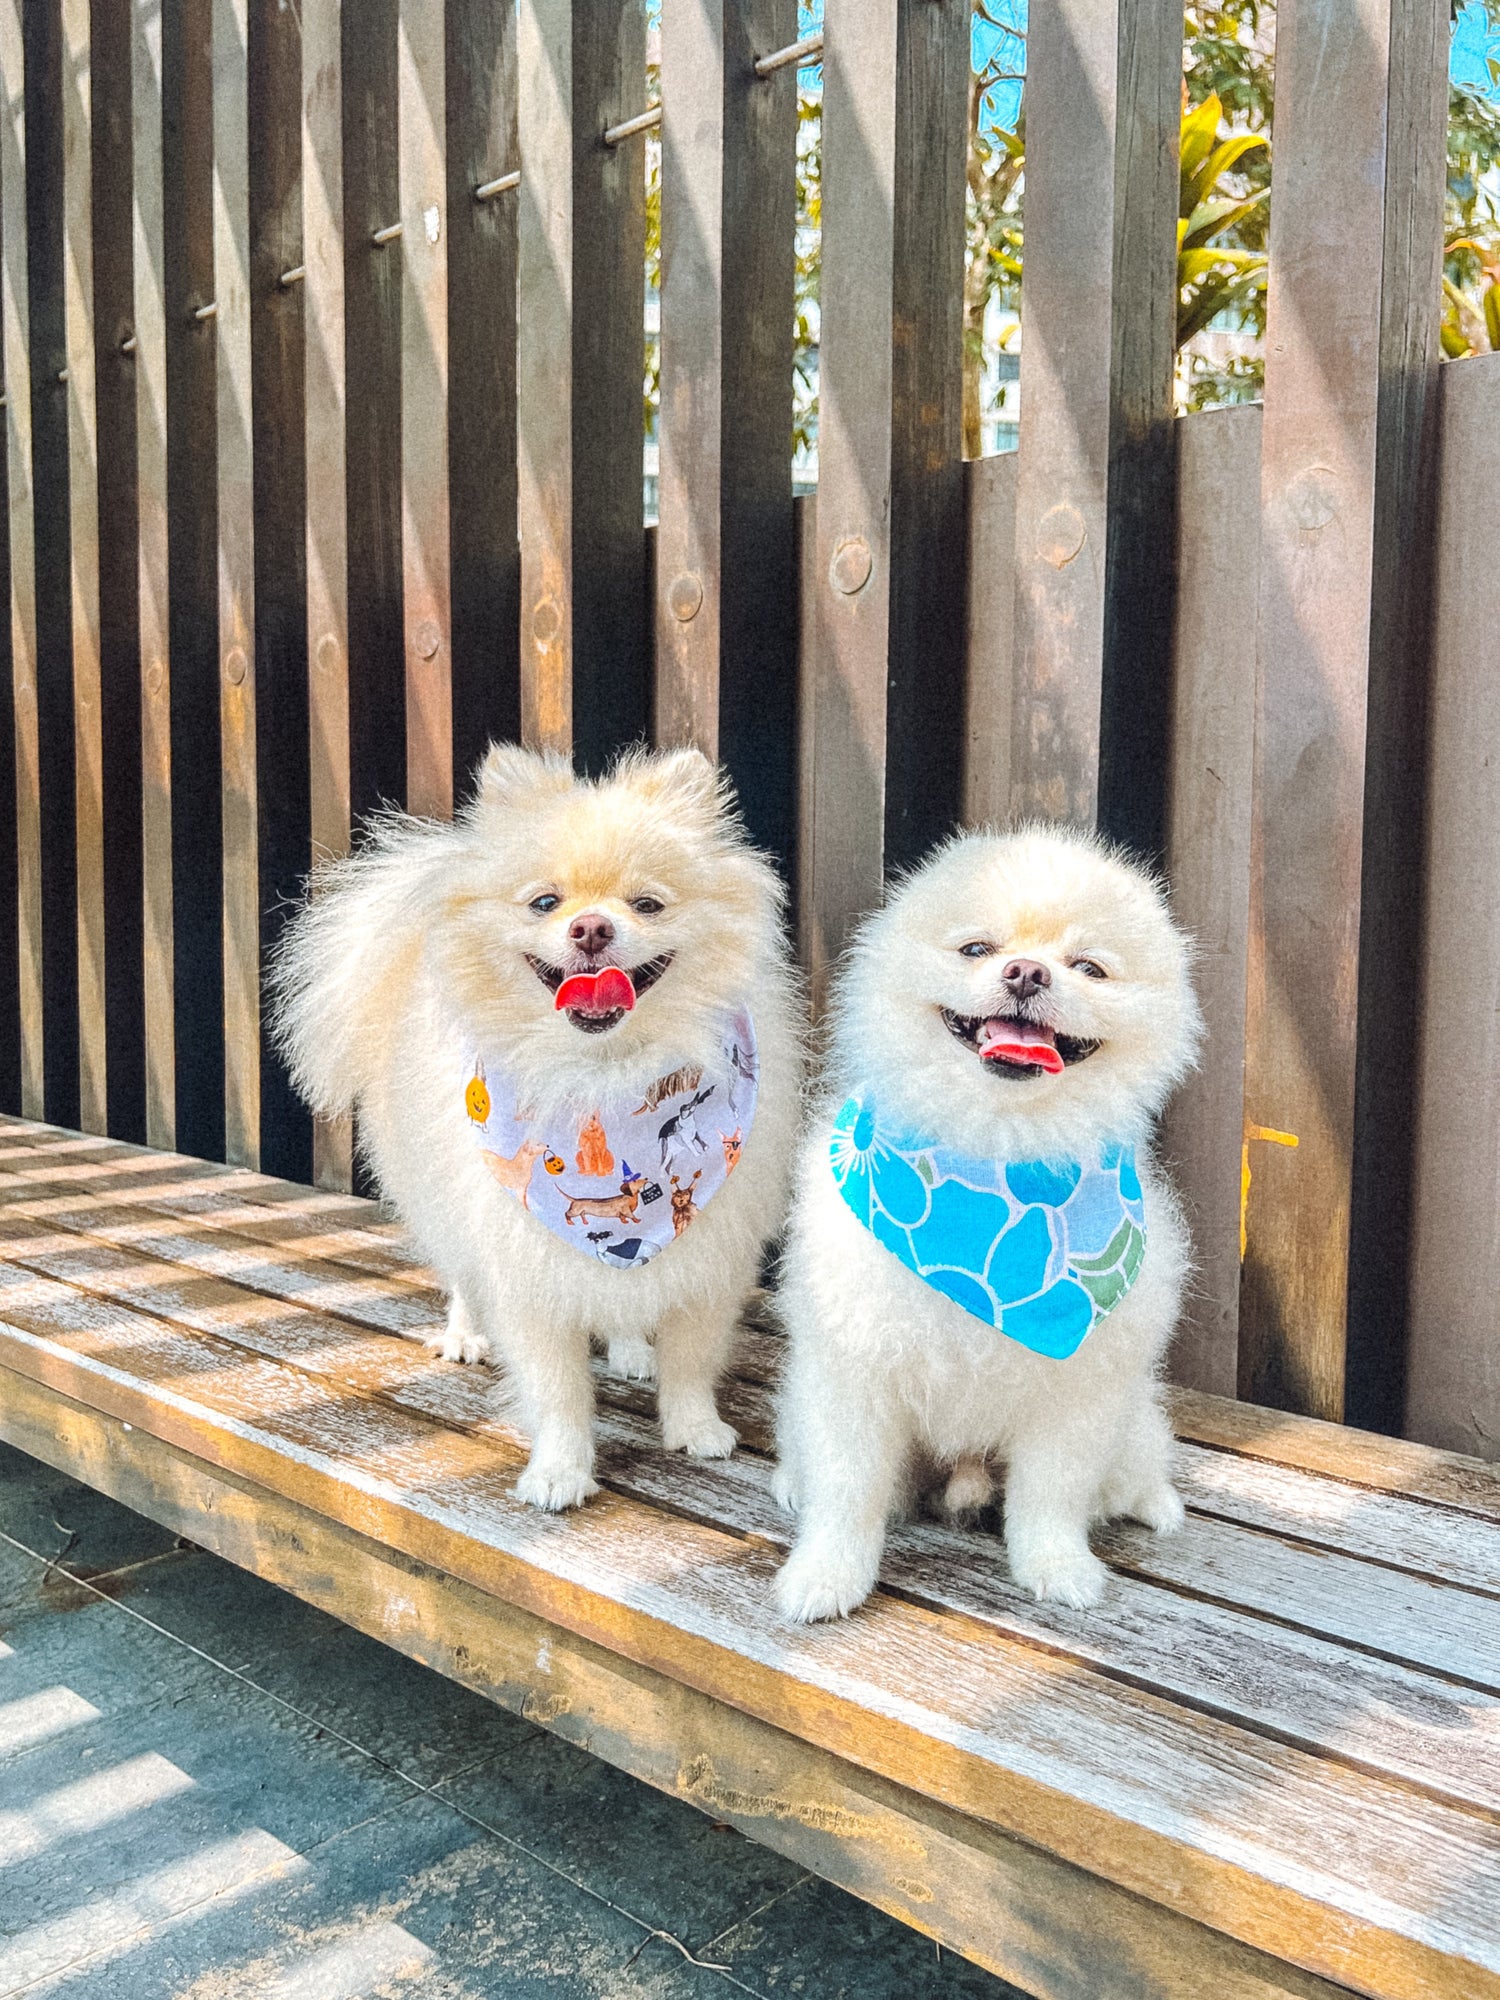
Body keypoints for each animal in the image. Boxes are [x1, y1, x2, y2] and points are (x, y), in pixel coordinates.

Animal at [274, 744, 804, 1504]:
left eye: (647, 903)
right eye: (545, 903)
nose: (591, 927)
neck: (604, 1076)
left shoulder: (709, 1258)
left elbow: (691, 1358)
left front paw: (695, 1427)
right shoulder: (527, 1266)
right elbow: (557, 1390)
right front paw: (560, 1470)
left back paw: (630, 1348)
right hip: (448, 1206)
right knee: (462, 1276)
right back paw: (466, 1336)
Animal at [780, 828, 1208, 1624]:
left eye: (1089, 967)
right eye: (976, 948)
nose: (1027, 972)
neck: (997, 1158)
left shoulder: (1076, 1394)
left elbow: (1050, 1497)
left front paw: (1057, 1567)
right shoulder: (855, 1372)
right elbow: (847, 1491)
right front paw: (826, 1575)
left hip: (1128, 1416)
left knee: (1133, 1458)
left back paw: (1151, 1499)